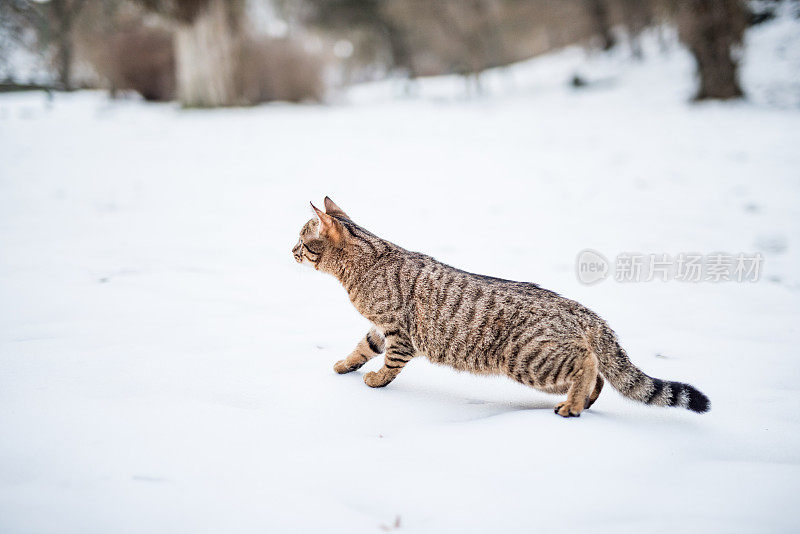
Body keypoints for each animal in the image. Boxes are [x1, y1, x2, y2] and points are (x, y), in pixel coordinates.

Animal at [296, 198, 708, 418]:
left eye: (301, 240)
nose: (290, 250)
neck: (366, 262)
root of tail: (579, 308)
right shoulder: (379, 329)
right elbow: (362, 348)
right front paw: (345, 364)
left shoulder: (399, 333)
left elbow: (390, 364)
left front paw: (376, 379)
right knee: (599, 375)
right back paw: (581, 401)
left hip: (530, 360)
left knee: (588, 362)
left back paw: (573, 407)